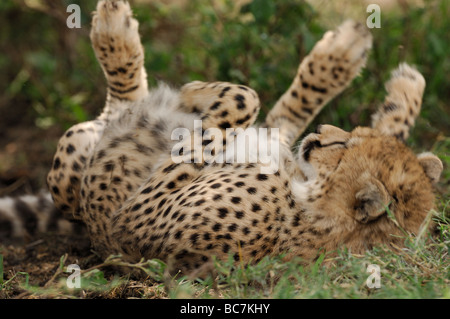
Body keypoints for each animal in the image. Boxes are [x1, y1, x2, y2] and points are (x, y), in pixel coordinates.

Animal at [0, 0, 442, 276]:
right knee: (277, 120)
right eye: (351, 136)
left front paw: (195, 93)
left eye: (342, 145)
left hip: (79, 155)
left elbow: (228, 113)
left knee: (123, 104)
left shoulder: (136, 218)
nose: (322, 134)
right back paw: (347, 56)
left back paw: (119, 35)